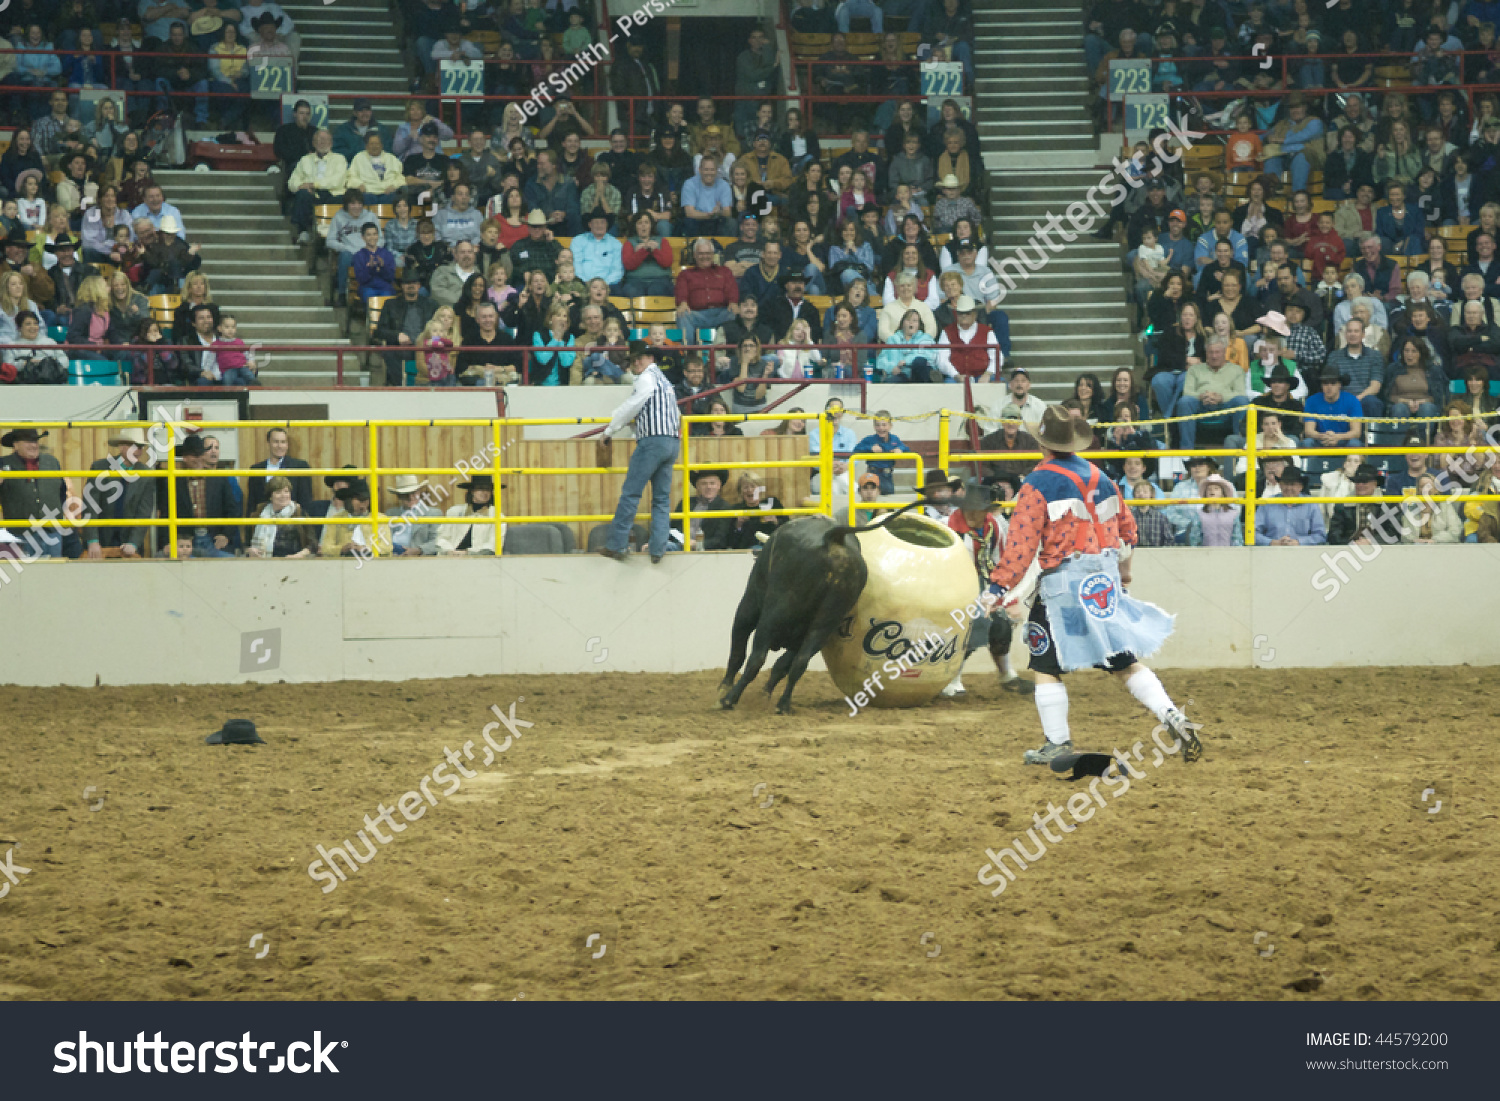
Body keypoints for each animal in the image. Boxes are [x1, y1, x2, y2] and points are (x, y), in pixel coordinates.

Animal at [717, 501, 918, 717]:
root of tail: (833, 537)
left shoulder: (749, 606)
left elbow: (739, 650)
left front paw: (725, 687)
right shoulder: (802, 637)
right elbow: (782, 666)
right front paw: (764, 695)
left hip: (773, 614)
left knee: (756, 658)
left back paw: (728, 699)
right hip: (825, 623)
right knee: (799, 662)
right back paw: (783, 704)